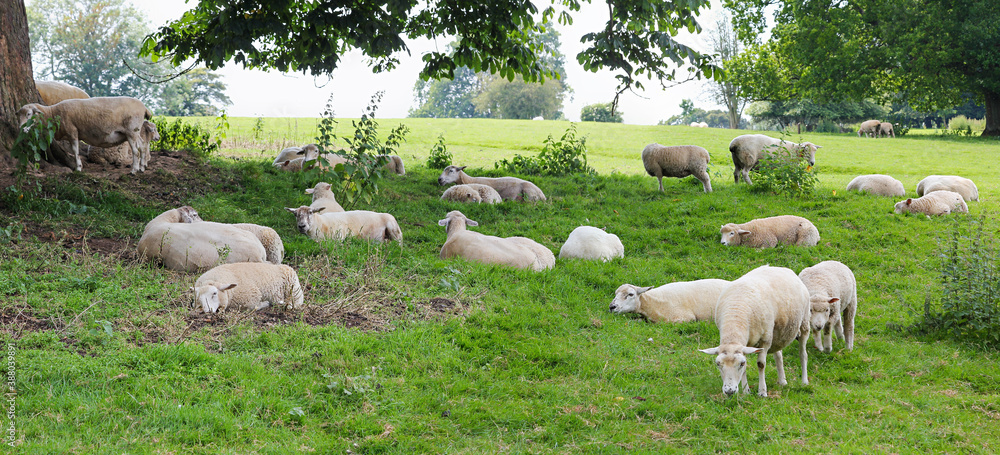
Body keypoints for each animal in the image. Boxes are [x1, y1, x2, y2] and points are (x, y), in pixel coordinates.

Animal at [16, 96, 153, 173]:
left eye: (29, 114)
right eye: (19, 115)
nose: (21, 128)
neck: (52, 113)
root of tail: (144, 107)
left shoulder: (72, 131)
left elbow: (75, 150)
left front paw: (78, 168)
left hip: (131, 130)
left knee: (135, 150)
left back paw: (134, 170)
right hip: (135, 132)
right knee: (143, 146)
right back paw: (142, 168)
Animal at [699, 265, 811, 397]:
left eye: (740, 363)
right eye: (718, 364)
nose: (729, 391)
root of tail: (781, 268)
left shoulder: (765, 339)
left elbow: (761, 364)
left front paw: (762, 391)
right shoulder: (748, 343)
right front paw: (746, 391)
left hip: (804, 322)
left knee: (803, 354)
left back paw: (804, 381)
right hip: (776, 333)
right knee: (778, 355)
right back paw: (782, 381)